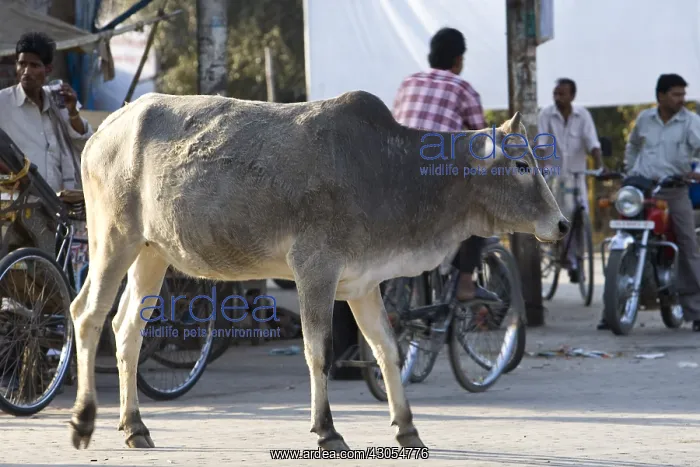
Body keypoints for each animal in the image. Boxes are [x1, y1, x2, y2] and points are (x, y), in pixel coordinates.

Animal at [68, 90, 568, 451]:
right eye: (522, 164)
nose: (562, 224)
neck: (393, 175)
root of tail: (106, 127)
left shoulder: (364, 283)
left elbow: (387, 350)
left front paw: (407, 429)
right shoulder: (315, 269)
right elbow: (319, 352)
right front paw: (327, 430)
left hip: (152, 252)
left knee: (127, 328)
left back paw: (134, 426)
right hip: (113, 239)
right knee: (87, 316)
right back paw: (84, 421)